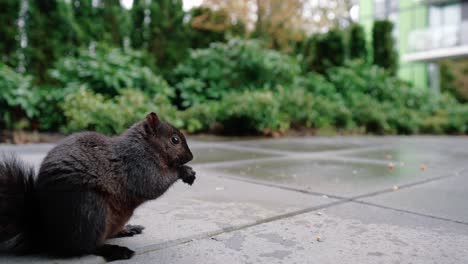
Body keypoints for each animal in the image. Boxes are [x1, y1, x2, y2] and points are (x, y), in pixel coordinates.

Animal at [0, 112, 196, 262]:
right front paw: (183, 171)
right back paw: (115, 250)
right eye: (175, 140)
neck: (146, 146)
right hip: (90, 210)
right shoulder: (138, 165)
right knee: (84, 247)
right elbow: (154, 184)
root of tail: (46, 233)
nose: (191, 156)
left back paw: (127, 229)